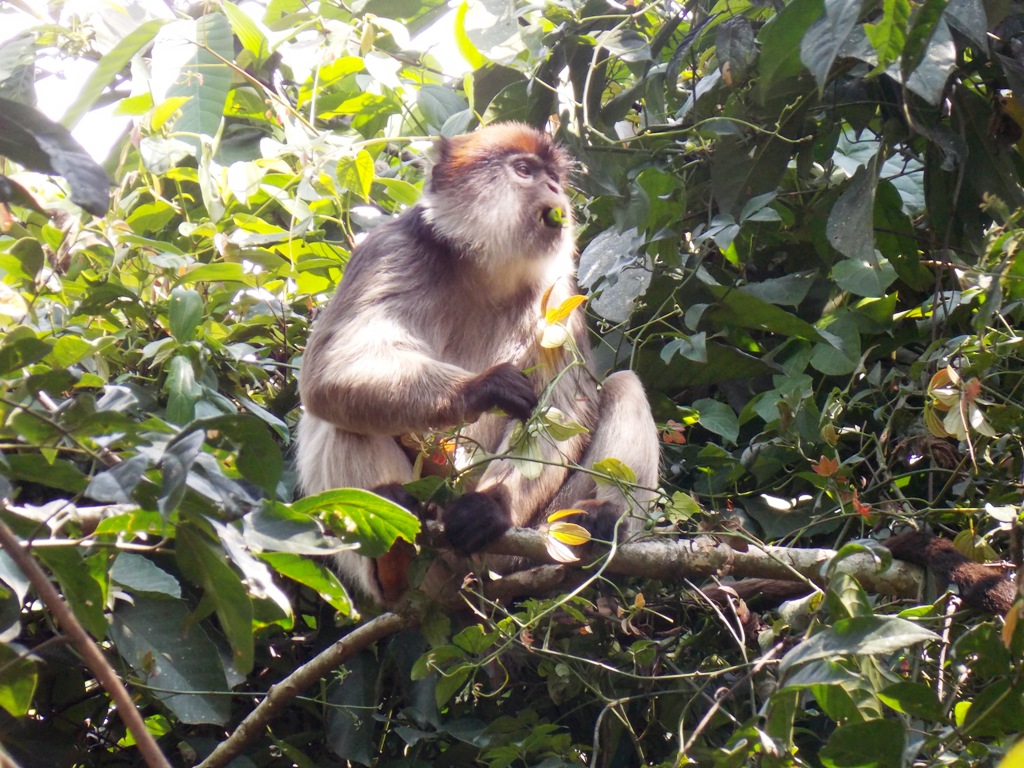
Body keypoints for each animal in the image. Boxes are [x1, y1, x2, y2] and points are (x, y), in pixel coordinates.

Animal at [296, 123, 663, 606]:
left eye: (553, 177)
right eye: (524, 170)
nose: (553, 190)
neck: (481, 269)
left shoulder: (557, 289)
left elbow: (564, 405)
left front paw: (492, 507)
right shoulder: (389, 249)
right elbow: (327, 373)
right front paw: (485, 388)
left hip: (525, 541)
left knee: (623, 385)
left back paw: (600, 522)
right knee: (343, 422)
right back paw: (394, 557)